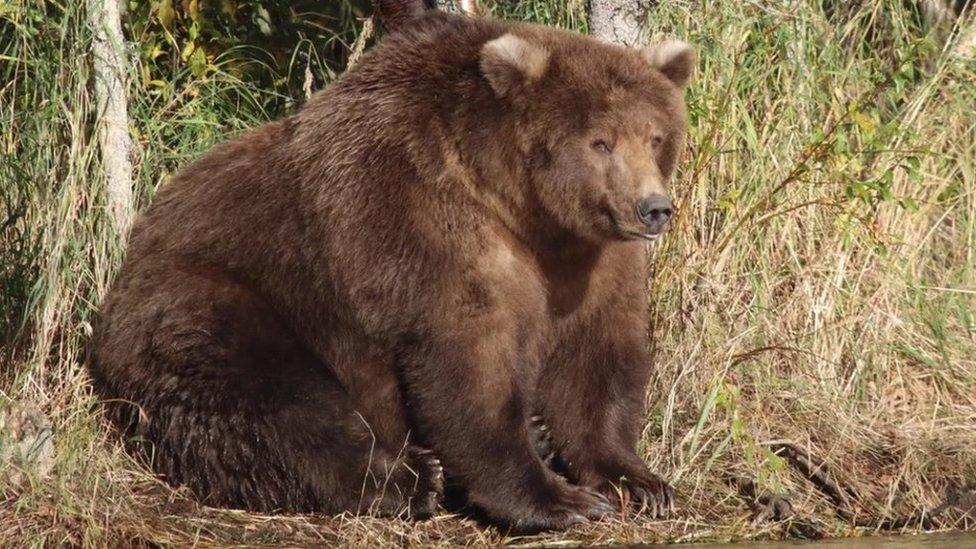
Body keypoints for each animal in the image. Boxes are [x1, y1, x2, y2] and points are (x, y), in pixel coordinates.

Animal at [86, 6, 692, 532]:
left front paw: (637, 481)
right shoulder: (418, 220)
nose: (653, 209)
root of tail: (126, 265)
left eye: (656, 136)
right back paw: (412, 479)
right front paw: (558, 499)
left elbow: (598, 356)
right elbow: (467, 361)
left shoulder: (589, 260)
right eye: (600, 141)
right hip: (215, 301)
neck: (521, 208)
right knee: (274, 402)